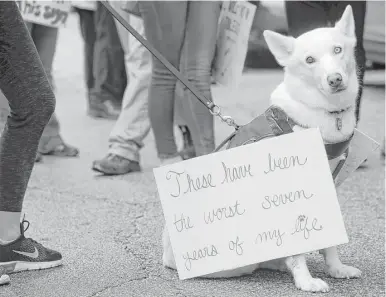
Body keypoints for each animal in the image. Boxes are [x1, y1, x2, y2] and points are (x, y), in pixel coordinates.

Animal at [161, 4, 360, 292]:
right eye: (309, 60)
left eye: (338, 50)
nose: (335, 79)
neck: (319, 114)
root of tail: (168, 256)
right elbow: (298, 247)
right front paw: (305, 280)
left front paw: (336, 267)